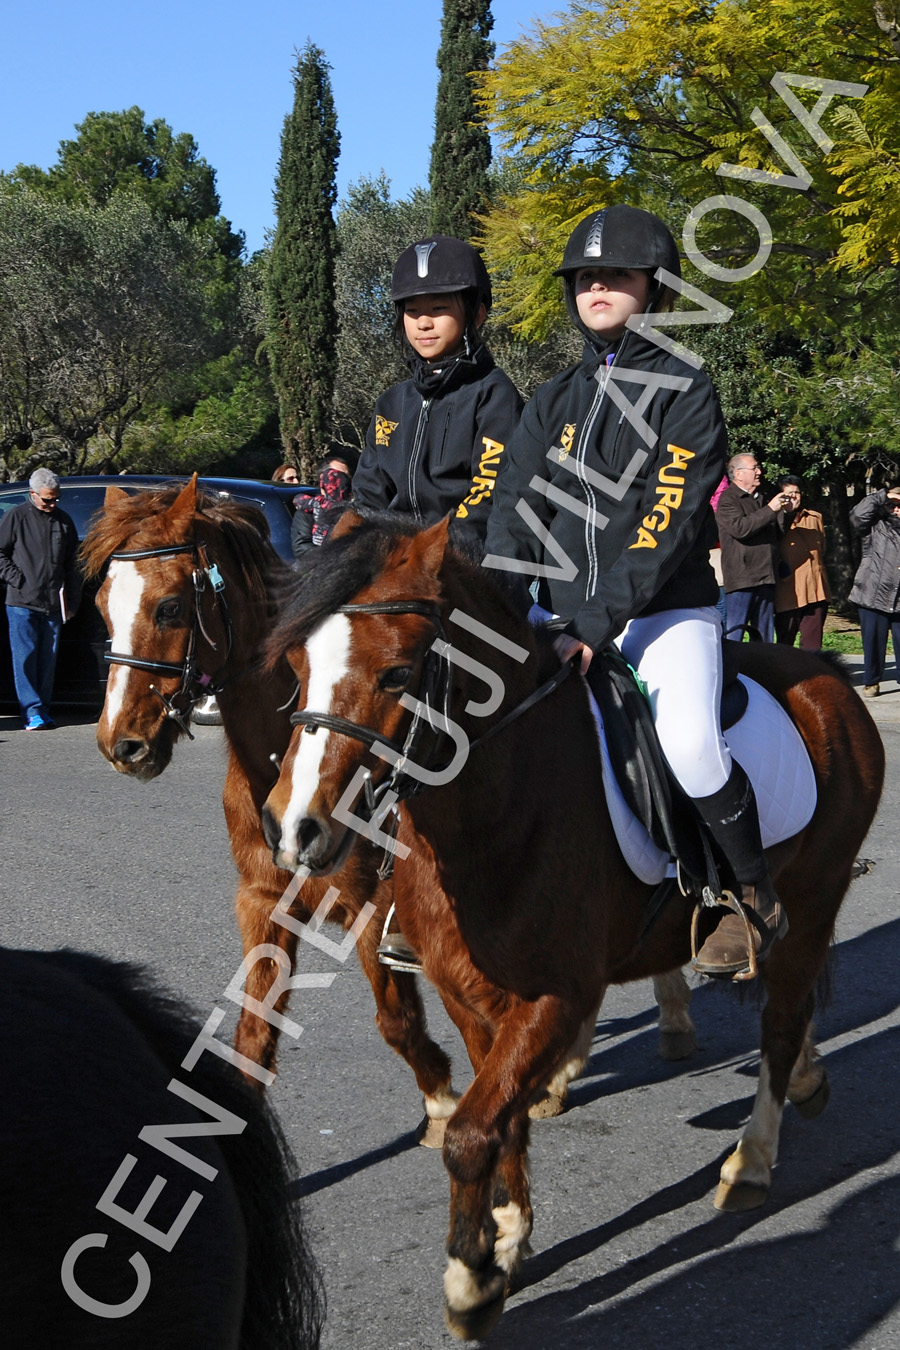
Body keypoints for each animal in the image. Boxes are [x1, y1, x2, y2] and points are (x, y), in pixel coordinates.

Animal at [78, 480, 458, 1134]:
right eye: (104, 607)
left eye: (170, 607)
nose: (121, 744)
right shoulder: (262, 902)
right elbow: (253, 1039)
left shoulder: (370, 909)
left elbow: (400, 1019)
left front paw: (444, 1100)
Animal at [260, 513, 885, 1339]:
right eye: (297, 663)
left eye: (396, 674)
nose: (293, 828)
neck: (497, 808)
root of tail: (828, 678)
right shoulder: (469, 995)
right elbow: (499, 1120)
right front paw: (509, 1236)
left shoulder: (555, 997)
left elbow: (471, 1133)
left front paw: (471, 1280)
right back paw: (805, 1080)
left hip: (813, 898)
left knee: (782, 1023)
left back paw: (751, 1160)